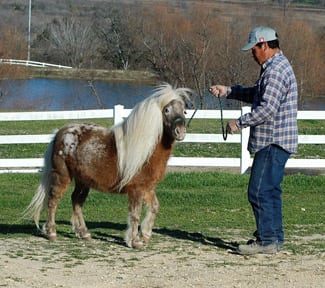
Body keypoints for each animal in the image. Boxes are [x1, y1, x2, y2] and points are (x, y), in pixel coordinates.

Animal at [24, 83, 190, 248]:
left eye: (184, 111)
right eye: (166, 110)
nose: (180, 131)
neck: (146, 150)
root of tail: (60, 133)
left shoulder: (148, 188)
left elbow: (155, 207)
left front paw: (146, 234)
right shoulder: (136, 189)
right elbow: (135, 214)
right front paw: (135, 241)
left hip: (83, 182)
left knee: (76, 201)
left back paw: (84, 233)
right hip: (62, 176)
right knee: (53, 201)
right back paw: (52, 233)